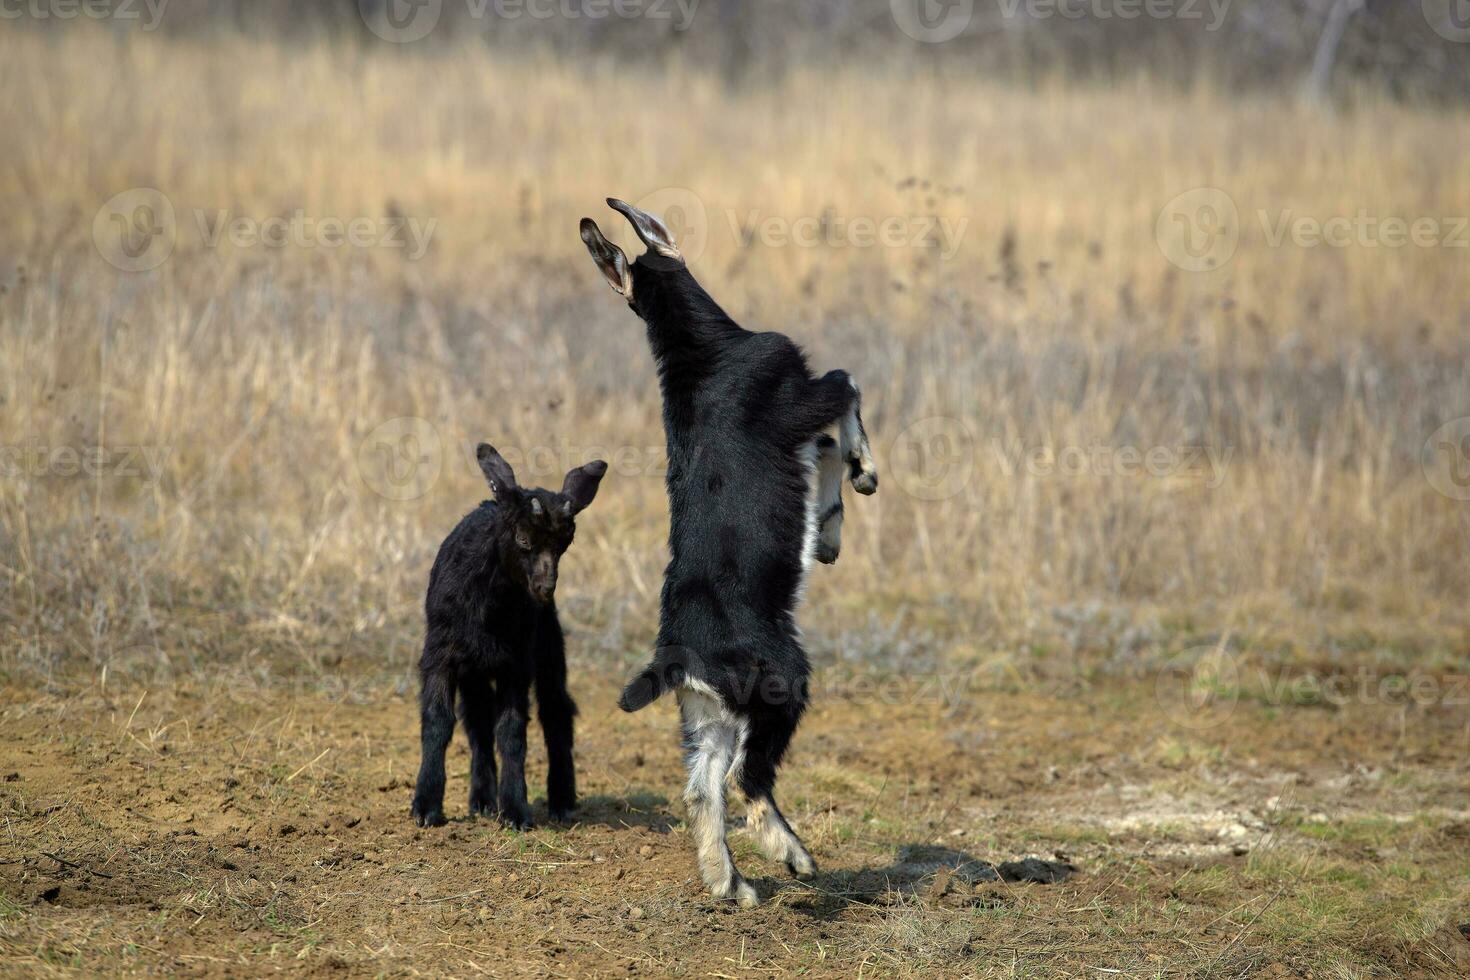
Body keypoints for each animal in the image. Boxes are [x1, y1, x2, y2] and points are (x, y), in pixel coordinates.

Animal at [582, 195, 882, 910]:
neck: (707, 351)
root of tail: (675, 657)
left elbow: (826, 445)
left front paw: (828, 529)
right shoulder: (801, 398)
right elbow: (846, 385)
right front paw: (863, 474)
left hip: (710, 713)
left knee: (703, 786)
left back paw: (730, 882)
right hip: (780, 687)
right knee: (748, 778)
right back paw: (792, 857)